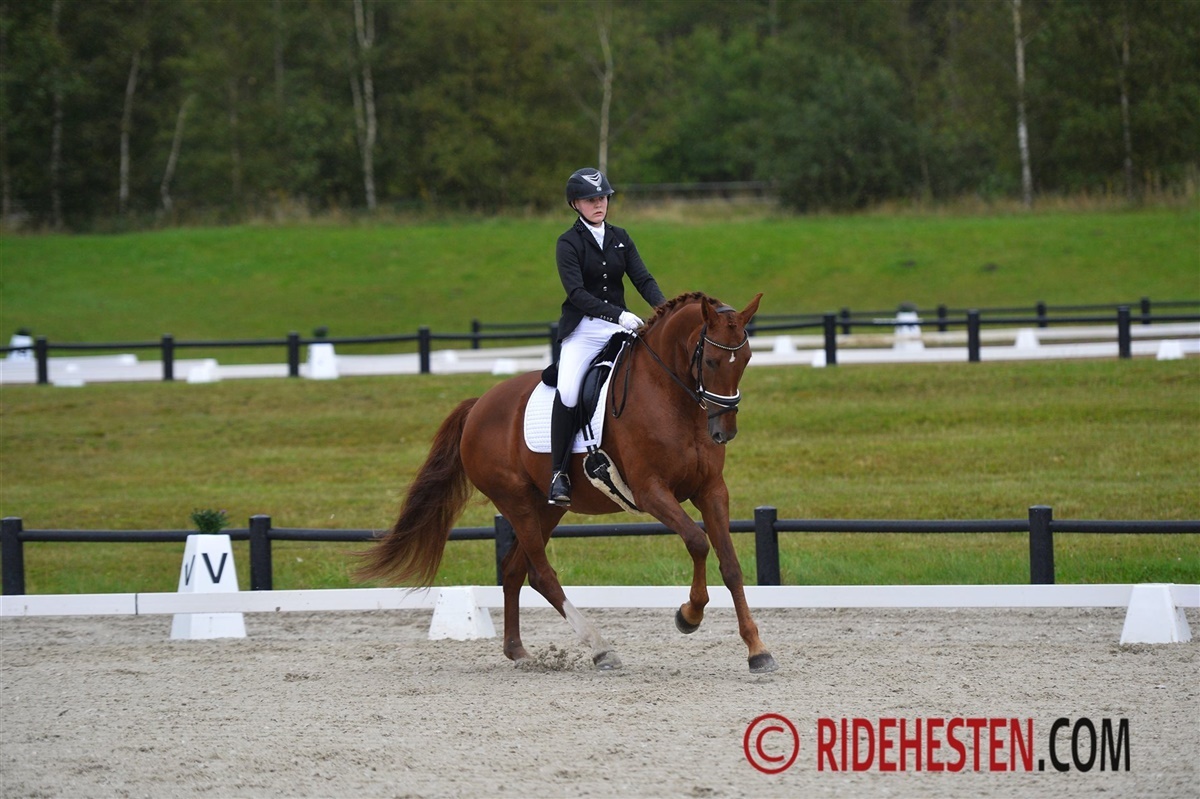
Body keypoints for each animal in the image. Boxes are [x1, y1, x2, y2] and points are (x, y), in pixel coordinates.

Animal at [356, 291, 777, 673]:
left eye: (747, 359)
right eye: (710, 360)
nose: (724, 432)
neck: (672, 397)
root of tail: (478, 406)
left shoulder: (711, 490)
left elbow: (730, 564)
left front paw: (757, 651)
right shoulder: (652, 492)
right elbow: (696, 541)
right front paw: (688, 616)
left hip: (546, 508)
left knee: (516, 571)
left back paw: (518, 651)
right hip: (515, 501)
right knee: (542, 574)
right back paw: (600, 649)